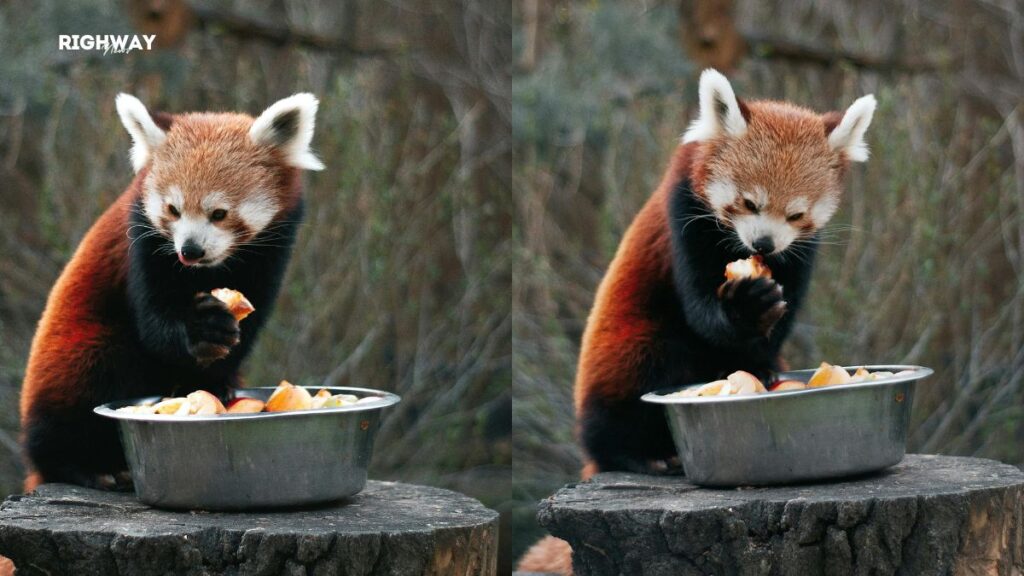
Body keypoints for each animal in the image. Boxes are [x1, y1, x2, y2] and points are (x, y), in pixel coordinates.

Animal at [19, 94, 323, 487]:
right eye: (173, 210)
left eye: (219, 213)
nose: (190, 250)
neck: (207, 270)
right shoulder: (143, 241)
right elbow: (155, 324)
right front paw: (202, 328)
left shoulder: (271, 251)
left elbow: (247, 324)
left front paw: (214, 379)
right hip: (74, 351)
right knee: (91, 375)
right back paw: (81, 466)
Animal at [516, 70, 876, 573]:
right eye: (748, 202)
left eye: (795, 213)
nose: (763, 244)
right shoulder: (684, 213)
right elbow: (702, 312)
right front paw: (745, 305)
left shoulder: (802, 252)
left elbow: (778, 323)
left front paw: (763, 330)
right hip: (626, 349)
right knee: (645, 368)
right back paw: (634, 455)